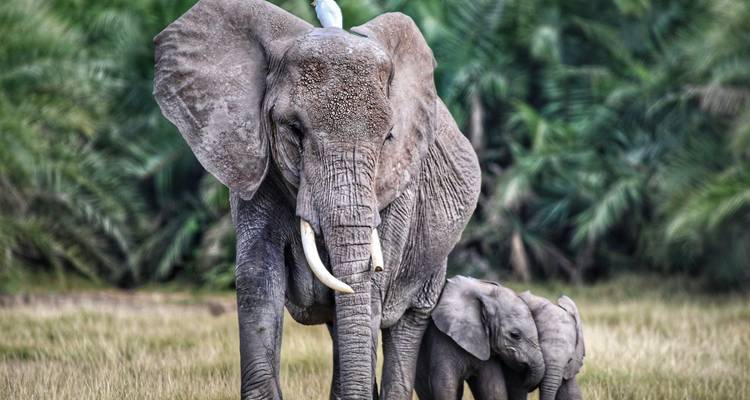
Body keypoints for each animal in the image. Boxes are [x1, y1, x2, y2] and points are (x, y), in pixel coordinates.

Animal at [152, 0, 481, 399]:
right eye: (294, 130)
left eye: (388, 136)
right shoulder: (253, 163)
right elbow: (258, 280)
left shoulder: (396, 186)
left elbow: (366, 292)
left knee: (407, 321)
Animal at [414, 276, 545, 400]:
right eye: (515, 335)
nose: (526, 384)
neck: (483, 292)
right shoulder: (441, 337)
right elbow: (445, 386)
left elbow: (494, 390)